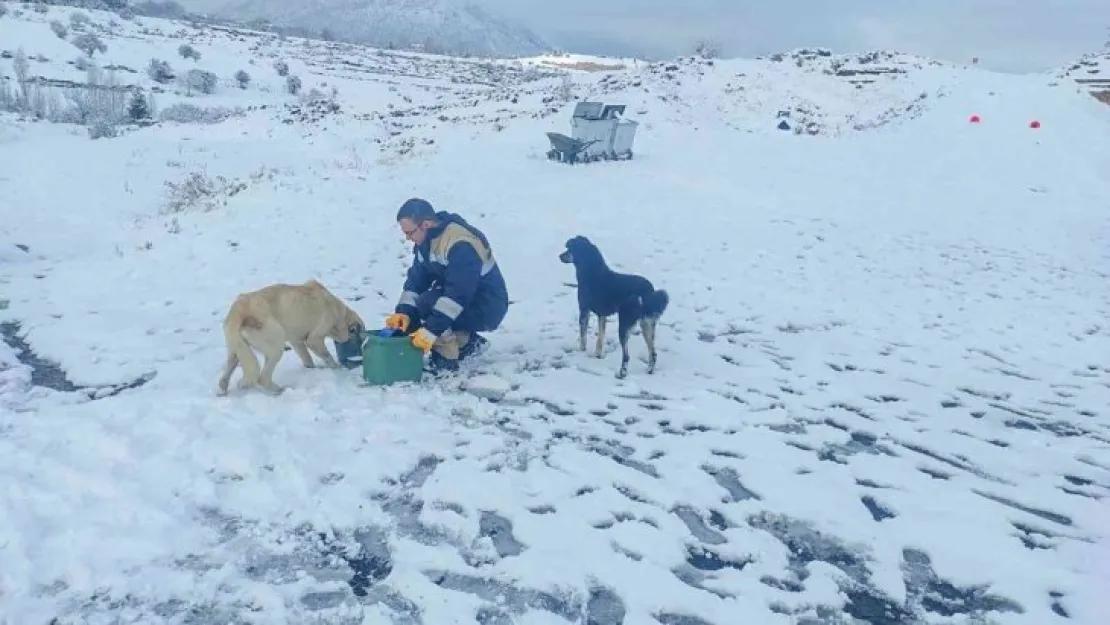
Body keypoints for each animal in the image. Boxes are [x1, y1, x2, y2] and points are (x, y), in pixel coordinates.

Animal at [218, 279, 366, 395]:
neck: (338, 311)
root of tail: (239, 313)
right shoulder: (314, 339)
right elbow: (327, 355)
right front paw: (337, 368)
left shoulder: (297, 341)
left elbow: (307, 359)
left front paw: (312, 369)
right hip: (276, 344)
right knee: (263, 378)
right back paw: (279, 390)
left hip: (237, 349)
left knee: (227, 372)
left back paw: (223, 389)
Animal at [559, 236, 670, 379]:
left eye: (570, 249)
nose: (560, 256)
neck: (591, 271)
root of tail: (648, 292)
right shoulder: (602, 315)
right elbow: (600, 338)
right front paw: (598, 355)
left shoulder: (584, 310)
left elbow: (583, 336)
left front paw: (581, 352)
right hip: (647, 324)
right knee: (653, 353)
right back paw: (649, 371)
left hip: (624, 324)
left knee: (627, 356)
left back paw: (621, 373)